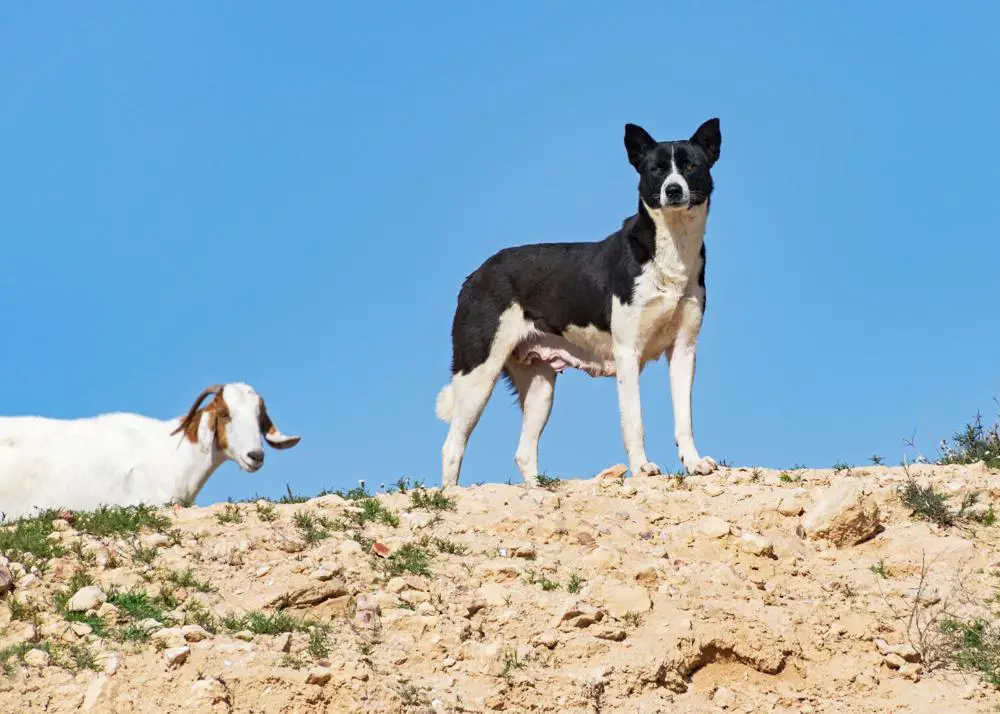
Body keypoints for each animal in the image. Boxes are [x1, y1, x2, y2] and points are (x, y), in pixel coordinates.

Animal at [434, 119, 724, 486]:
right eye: (656, 170)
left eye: (690, 166)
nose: (672, 190)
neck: (670, 252)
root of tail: (474, 276)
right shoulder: (628, 353)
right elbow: (634, 421)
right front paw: (642, 469)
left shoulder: (684, 350)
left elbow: (684, 419)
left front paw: (694, 463)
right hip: (478, 373)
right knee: (452, 446)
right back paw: (451, 492)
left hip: (540, 385)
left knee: (523, 452)